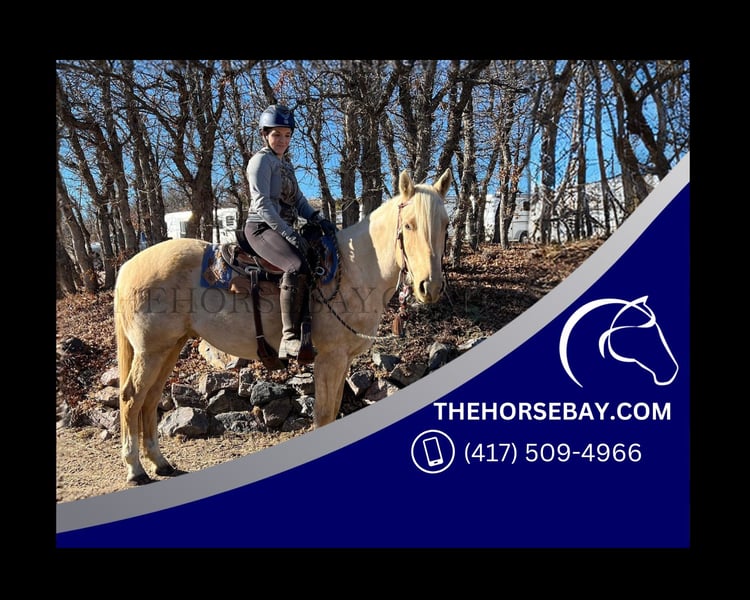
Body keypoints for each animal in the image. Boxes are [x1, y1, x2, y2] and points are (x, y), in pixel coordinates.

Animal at [114, 168, 452, 485]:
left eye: (446, 224)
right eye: (408, 225)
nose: (431, 286)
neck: (353, 271)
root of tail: (128, 266)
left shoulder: (342, 360)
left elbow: (333, 409)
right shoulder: (330, 358)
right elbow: (325, 414)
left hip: (170, 347)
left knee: (151, 398)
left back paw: (160, 463)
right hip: (151, 351)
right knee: (131, 397)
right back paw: (135, 469)